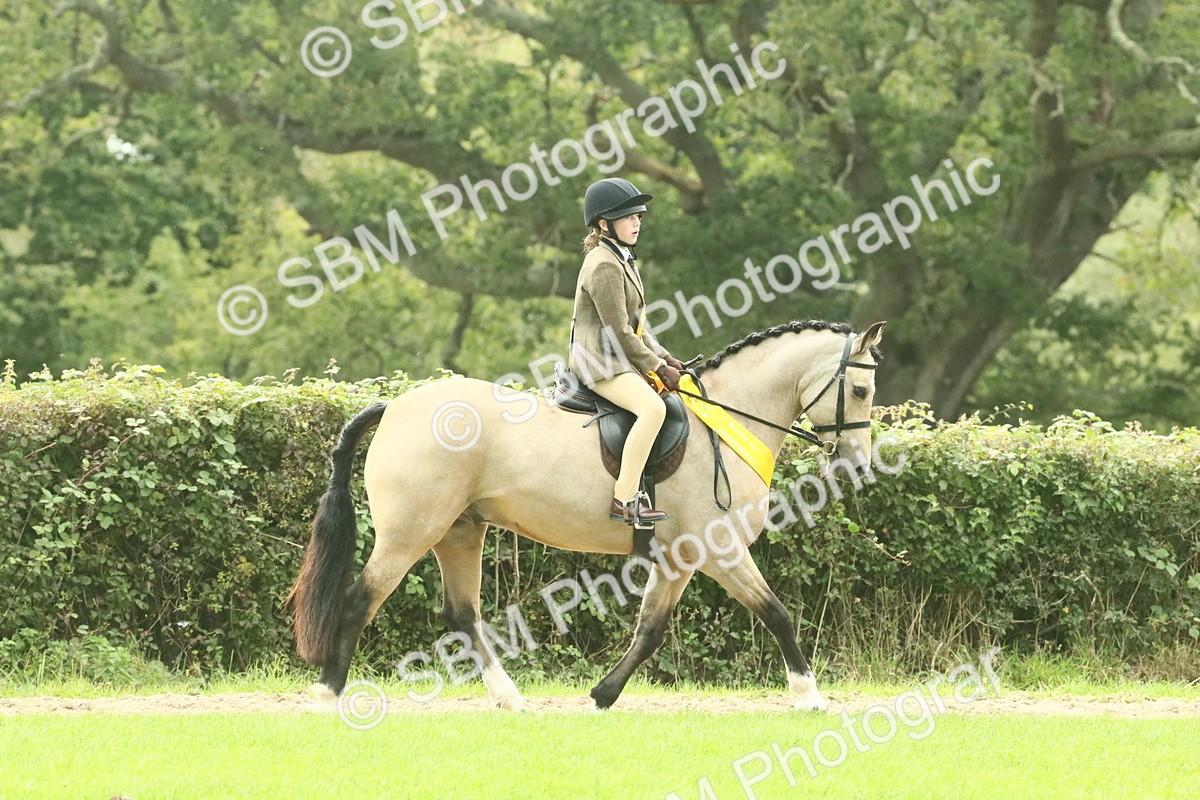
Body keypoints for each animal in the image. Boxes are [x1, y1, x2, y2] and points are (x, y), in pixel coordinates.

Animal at [286, 318, 886, 711]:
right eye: (859, 389)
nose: (857, 464)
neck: (725, 424)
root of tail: (395, 405)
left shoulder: (679, 560)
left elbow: (650, 631)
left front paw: (601, 695)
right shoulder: (720, 550)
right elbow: (777, 613)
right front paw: (809, 695)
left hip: (460, 532)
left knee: (462, 615)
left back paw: (510, 699)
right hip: (410, 533)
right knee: (359, 599)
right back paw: (328, 693)